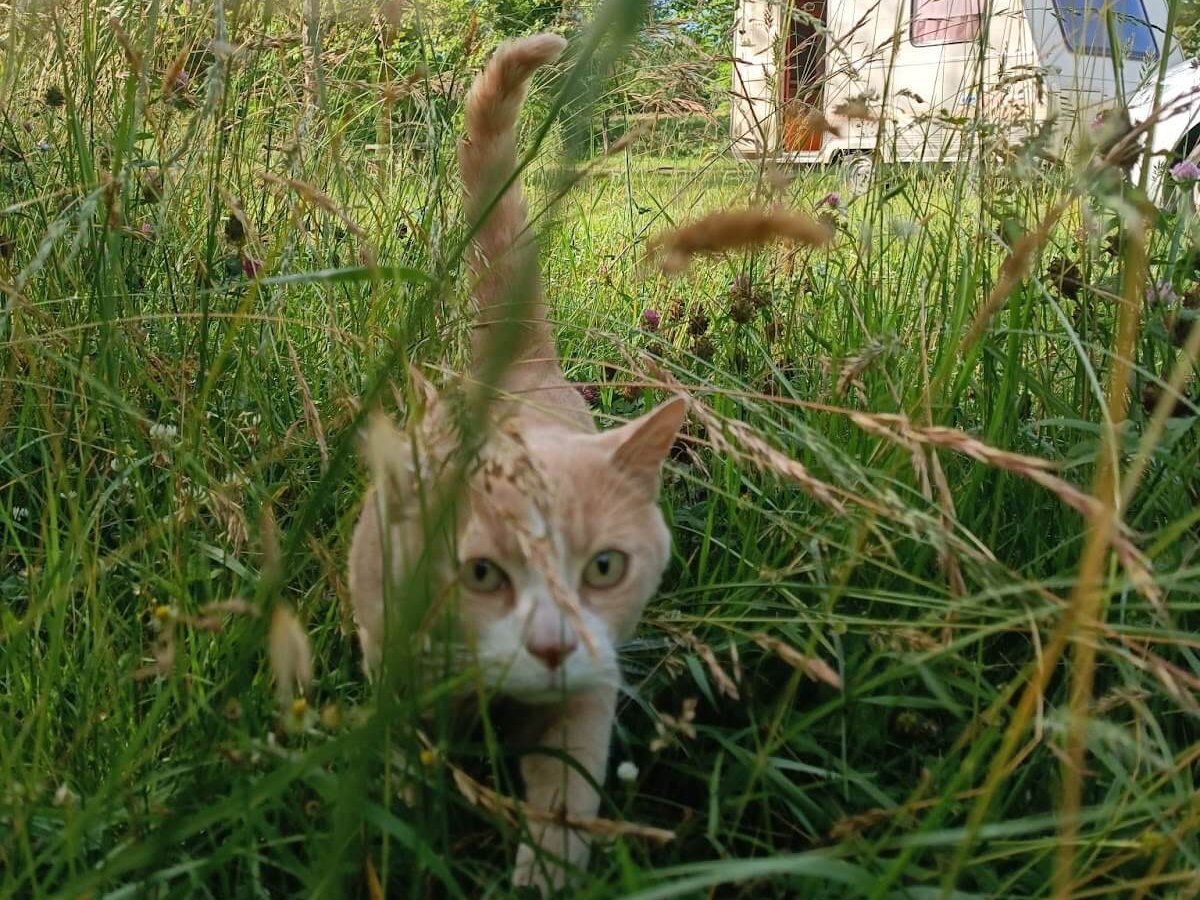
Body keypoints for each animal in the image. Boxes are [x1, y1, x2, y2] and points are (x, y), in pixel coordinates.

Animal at [348, 31, 686, 892]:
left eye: (604, 568)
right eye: (480, 573)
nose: (553, 646)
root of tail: (519, 362)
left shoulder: (594, 682)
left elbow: (568, 788)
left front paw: (546, 873)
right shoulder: (385, 637)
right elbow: (396, 750)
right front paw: (400, 821)